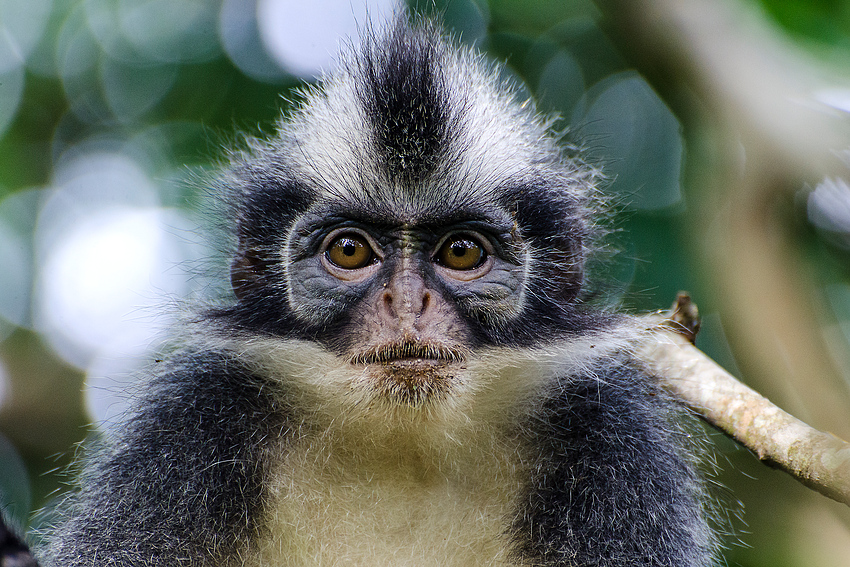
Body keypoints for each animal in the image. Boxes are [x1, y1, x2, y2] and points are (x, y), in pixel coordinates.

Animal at [34, 15, 716, 564]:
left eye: (461, 252)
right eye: (350, 251)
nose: (406, 305)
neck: (403, 447)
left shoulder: (610, 442)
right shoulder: (190, 426)